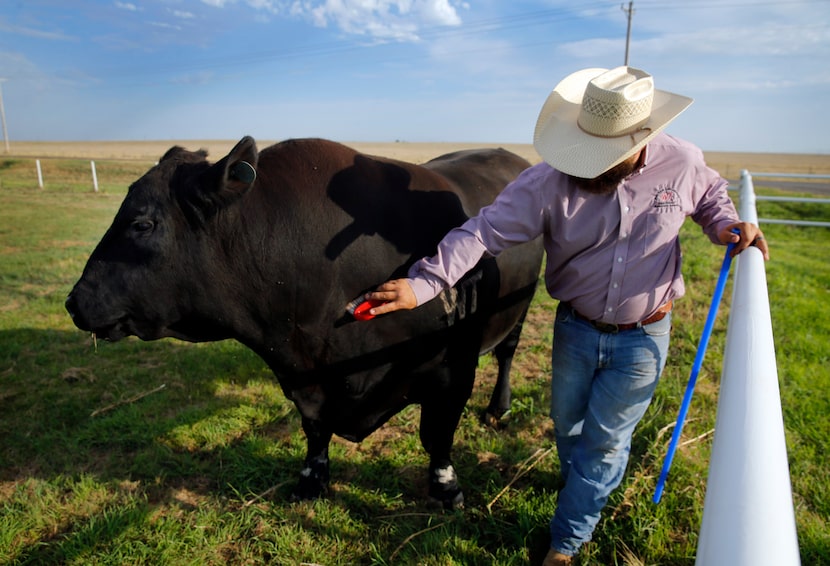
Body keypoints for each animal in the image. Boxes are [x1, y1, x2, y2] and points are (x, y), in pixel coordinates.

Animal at [66, 138, 544, 510]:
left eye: (142, 223)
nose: (74, 302)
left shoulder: (452, 368)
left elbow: (438, 434)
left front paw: (445, 489)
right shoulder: (301, 375)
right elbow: (314, 429)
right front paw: (311, 481)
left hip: (519, 309)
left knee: (506, 352)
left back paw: (498, 408)